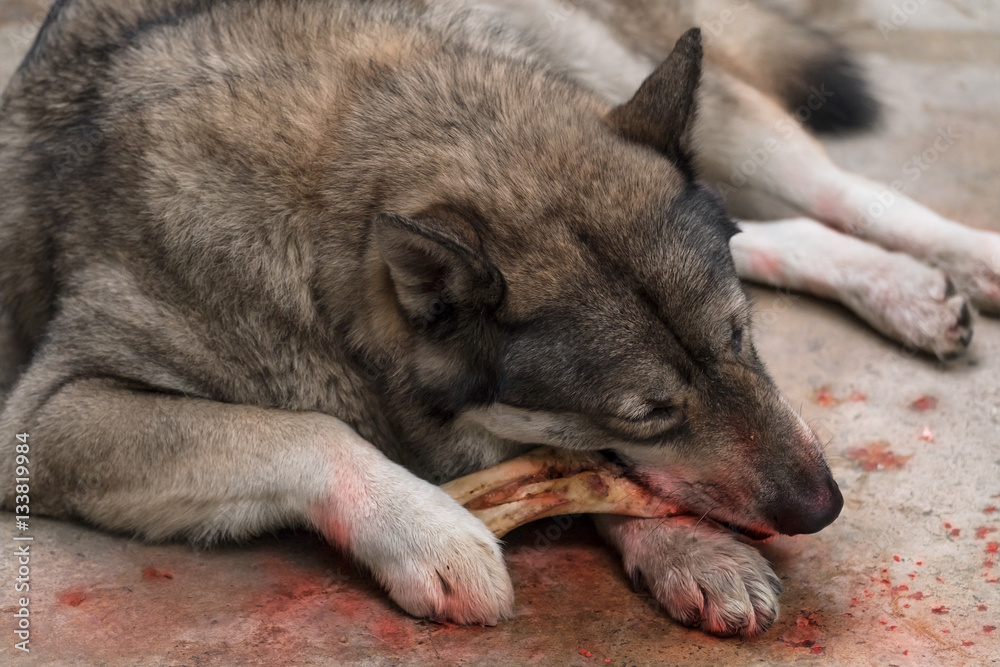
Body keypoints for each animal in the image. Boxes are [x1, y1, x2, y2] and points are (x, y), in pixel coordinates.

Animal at [0, 0, 992, 638]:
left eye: (744, 340)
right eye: (649, 412)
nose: (824, 507)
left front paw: (682, 544)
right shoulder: (48, 414)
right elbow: (305, 429)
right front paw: (432, 530)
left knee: (835, 190)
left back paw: (953, 262)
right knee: (775, 230)